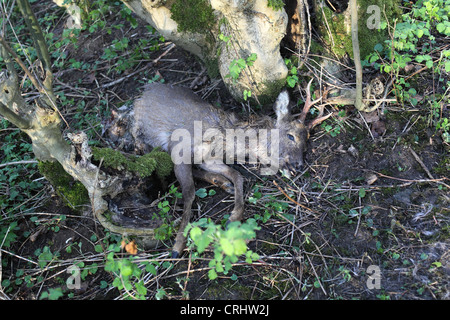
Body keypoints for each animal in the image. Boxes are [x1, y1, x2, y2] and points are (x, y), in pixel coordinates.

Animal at [130, 80, 330, 258]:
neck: (221, 140)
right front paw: (177, 246)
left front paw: (233, 217)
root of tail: (142, 93)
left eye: (306, 145)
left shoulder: (209, 159)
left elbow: (237, 175)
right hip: (142, 137)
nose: (299, 165)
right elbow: (189, 193)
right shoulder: (180, 148)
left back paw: (222, 183)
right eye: (291, 136)